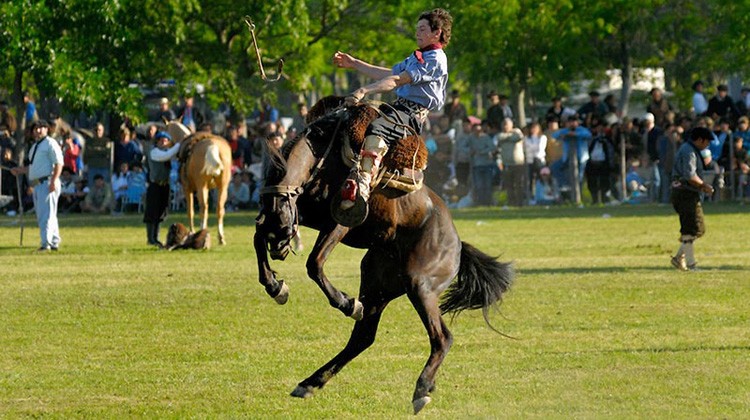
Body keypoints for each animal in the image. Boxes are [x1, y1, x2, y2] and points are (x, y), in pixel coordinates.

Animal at [253, 97, 514, 414]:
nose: (278, 247)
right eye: (265, 204)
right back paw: (310, 382)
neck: (324, 157)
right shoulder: (307, 214)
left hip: (420, 284)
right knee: (363, 337)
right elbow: (257, 237)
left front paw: (344, 302)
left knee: (442, 337)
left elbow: (314, 263)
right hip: (377, 283)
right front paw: (276, 286)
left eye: (282, 210)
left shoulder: (341, 219)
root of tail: (457, 244)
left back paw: (421, 389)